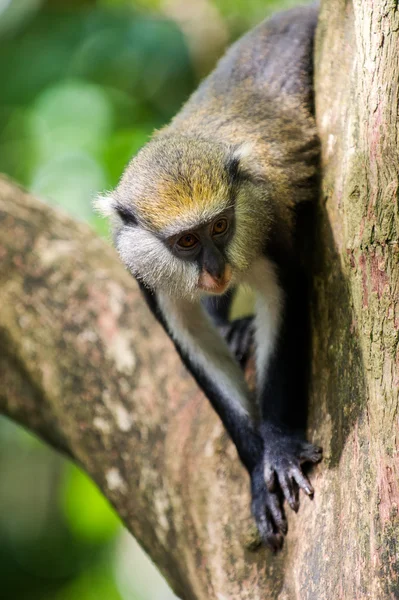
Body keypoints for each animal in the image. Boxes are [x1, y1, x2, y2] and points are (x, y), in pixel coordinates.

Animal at [96, 4, 324, 552]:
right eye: (186, 242)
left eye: (220, 227)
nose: (217, 270)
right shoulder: (145, 272)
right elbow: (193, 343)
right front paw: (257, 467)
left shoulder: (266, 225)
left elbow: (285, 299)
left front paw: (279, 448)